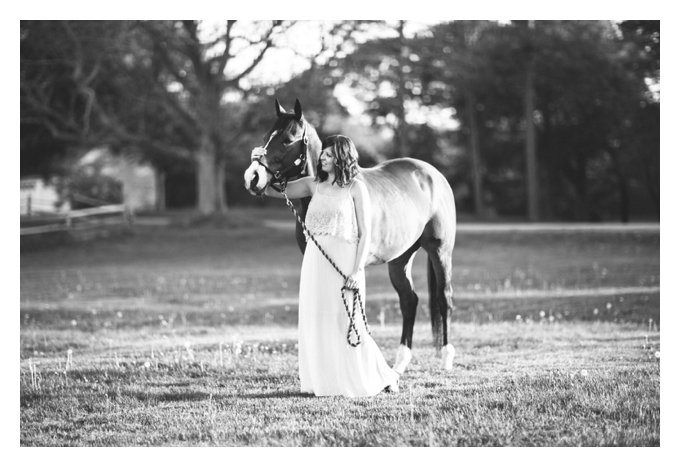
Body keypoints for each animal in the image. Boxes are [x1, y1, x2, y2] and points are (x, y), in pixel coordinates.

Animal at [244, 98, 457, 373]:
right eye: (264, 138)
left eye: (287, 139)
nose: (253, 178)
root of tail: (432, 173)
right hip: (400, 258)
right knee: (409, 300)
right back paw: (399, 364)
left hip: (440, 251)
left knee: (443, 298)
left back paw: (446, 357)